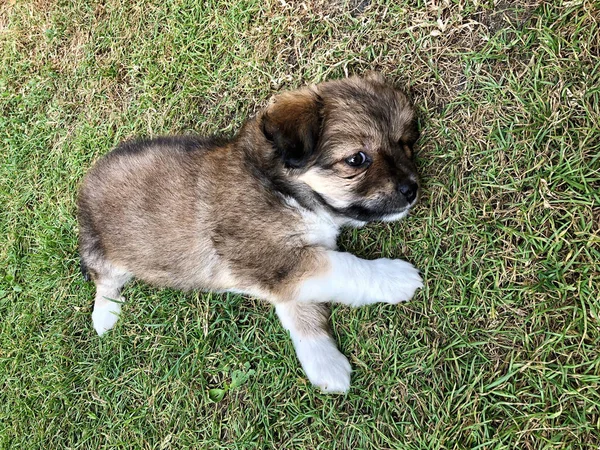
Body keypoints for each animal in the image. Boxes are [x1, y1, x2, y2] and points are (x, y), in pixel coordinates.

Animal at [78, 73, 422, 394]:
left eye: (405, 143)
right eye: (356, 159)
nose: (412, 189)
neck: (283, 188)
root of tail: (88, 178)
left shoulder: (281, 276)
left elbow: (300, 312)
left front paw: (325, 365)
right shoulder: (276, 260)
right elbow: (347, 269)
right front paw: (395, 277)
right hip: (100, 250)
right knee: (104, 282)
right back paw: (105, 316)